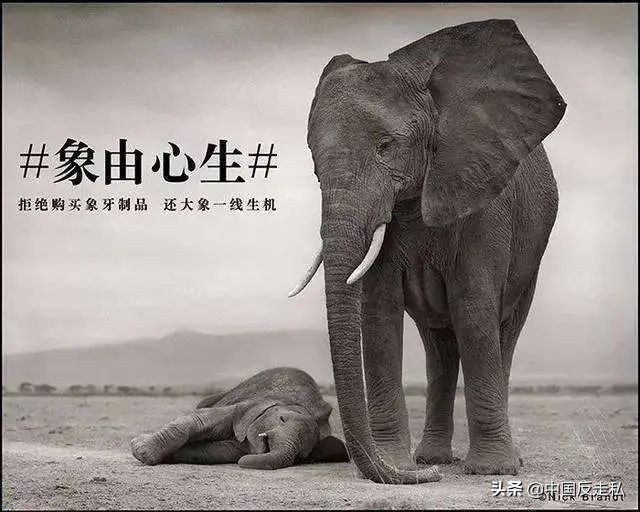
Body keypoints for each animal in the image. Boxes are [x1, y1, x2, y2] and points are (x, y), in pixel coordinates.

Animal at [130, 367, 349, 469]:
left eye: (301, 456)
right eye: (282, 420)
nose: (242, 463)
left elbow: (217, 451)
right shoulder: (245, 407)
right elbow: (199, 421)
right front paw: (140, 449)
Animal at [288, 19, 566, 484]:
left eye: (386, 145)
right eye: (313, 159)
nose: (427, 479)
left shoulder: (483, 195)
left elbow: (474, 309)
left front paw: (489, 470)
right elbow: (378, 312)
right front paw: (398, 466)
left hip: (531, 258)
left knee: (502, 333)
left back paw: (496, 461)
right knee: (439, 349)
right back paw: (430, 458)